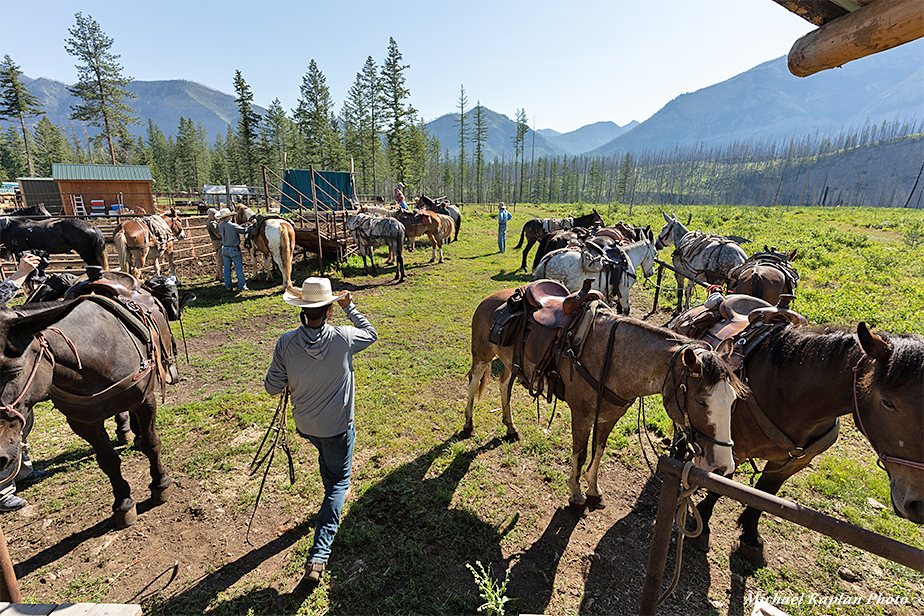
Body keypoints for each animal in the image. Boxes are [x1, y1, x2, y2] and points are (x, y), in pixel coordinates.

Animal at [0, 296, 176, 528]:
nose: (0, 455)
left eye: (14, 371)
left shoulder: (145, 402)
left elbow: (151, 443)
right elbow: (108, 461)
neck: (100, 352)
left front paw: (160, 484)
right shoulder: (84, 423)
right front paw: (124, 503)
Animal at [466, 288, 748, 510]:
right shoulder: (581, 415)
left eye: (733, 400)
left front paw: (593, 490)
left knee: (504, 385)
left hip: (510, 363)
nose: (723, 467)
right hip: (482, 355)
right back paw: (468, 424)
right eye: (700, 401)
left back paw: (510, 427)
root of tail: (494, 297)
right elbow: (580, 454)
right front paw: (576, 493)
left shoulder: (609, 416)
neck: (612, 360)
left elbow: (598, 451)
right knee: (472, 384)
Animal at [684, 322, 924, 564]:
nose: (918, 504)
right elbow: (719, 485)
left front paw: (750, 537)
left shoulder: (792, 463)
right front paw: (702, 524)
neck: (791, 398)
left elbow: (765, 494)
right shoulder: (733, 450)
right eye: (887, 402)